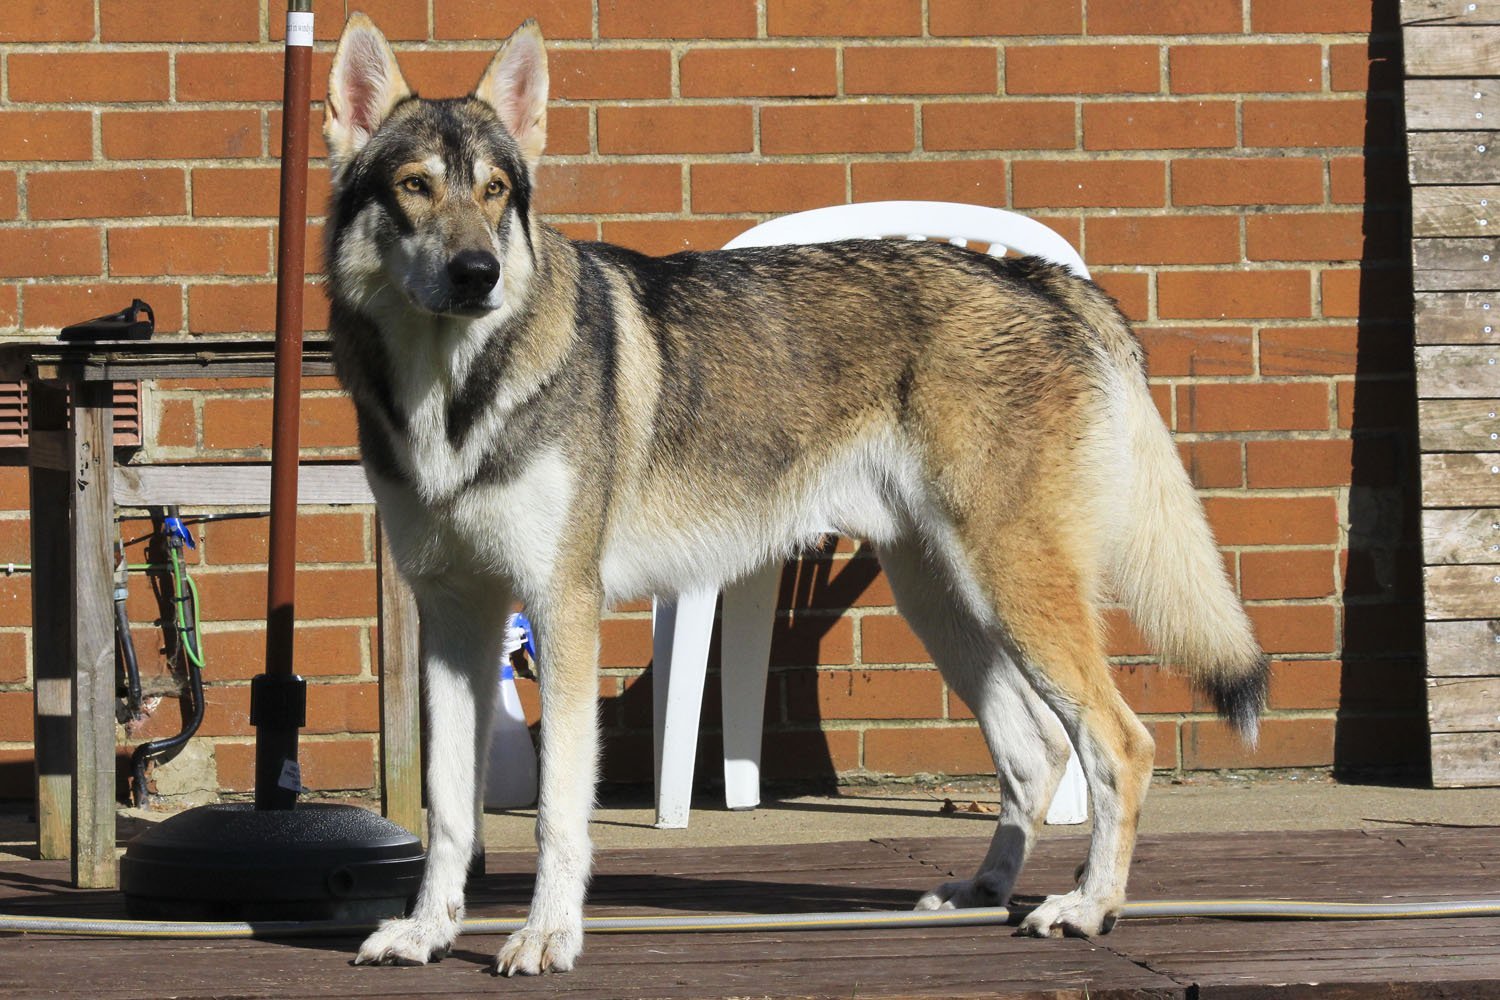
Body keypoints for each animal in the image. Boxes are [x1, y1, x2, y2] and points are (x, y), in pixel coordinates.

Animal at [325, 9, 1266, 977]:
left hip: (1013, 593)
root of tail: (1041, 280)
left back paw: (1087, 907)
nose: (478, 273)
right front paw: (428, 931)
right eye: (415, 186)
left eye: (496, 190)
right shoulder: (456, 619)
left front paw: (547, 934)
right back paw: (980, 893)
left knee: (1122, 744)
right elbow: (448, 810)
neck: (454, 399)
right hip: (945, 603)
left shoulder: (562, 611)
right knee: (1034, 753)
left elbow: (557, 815)